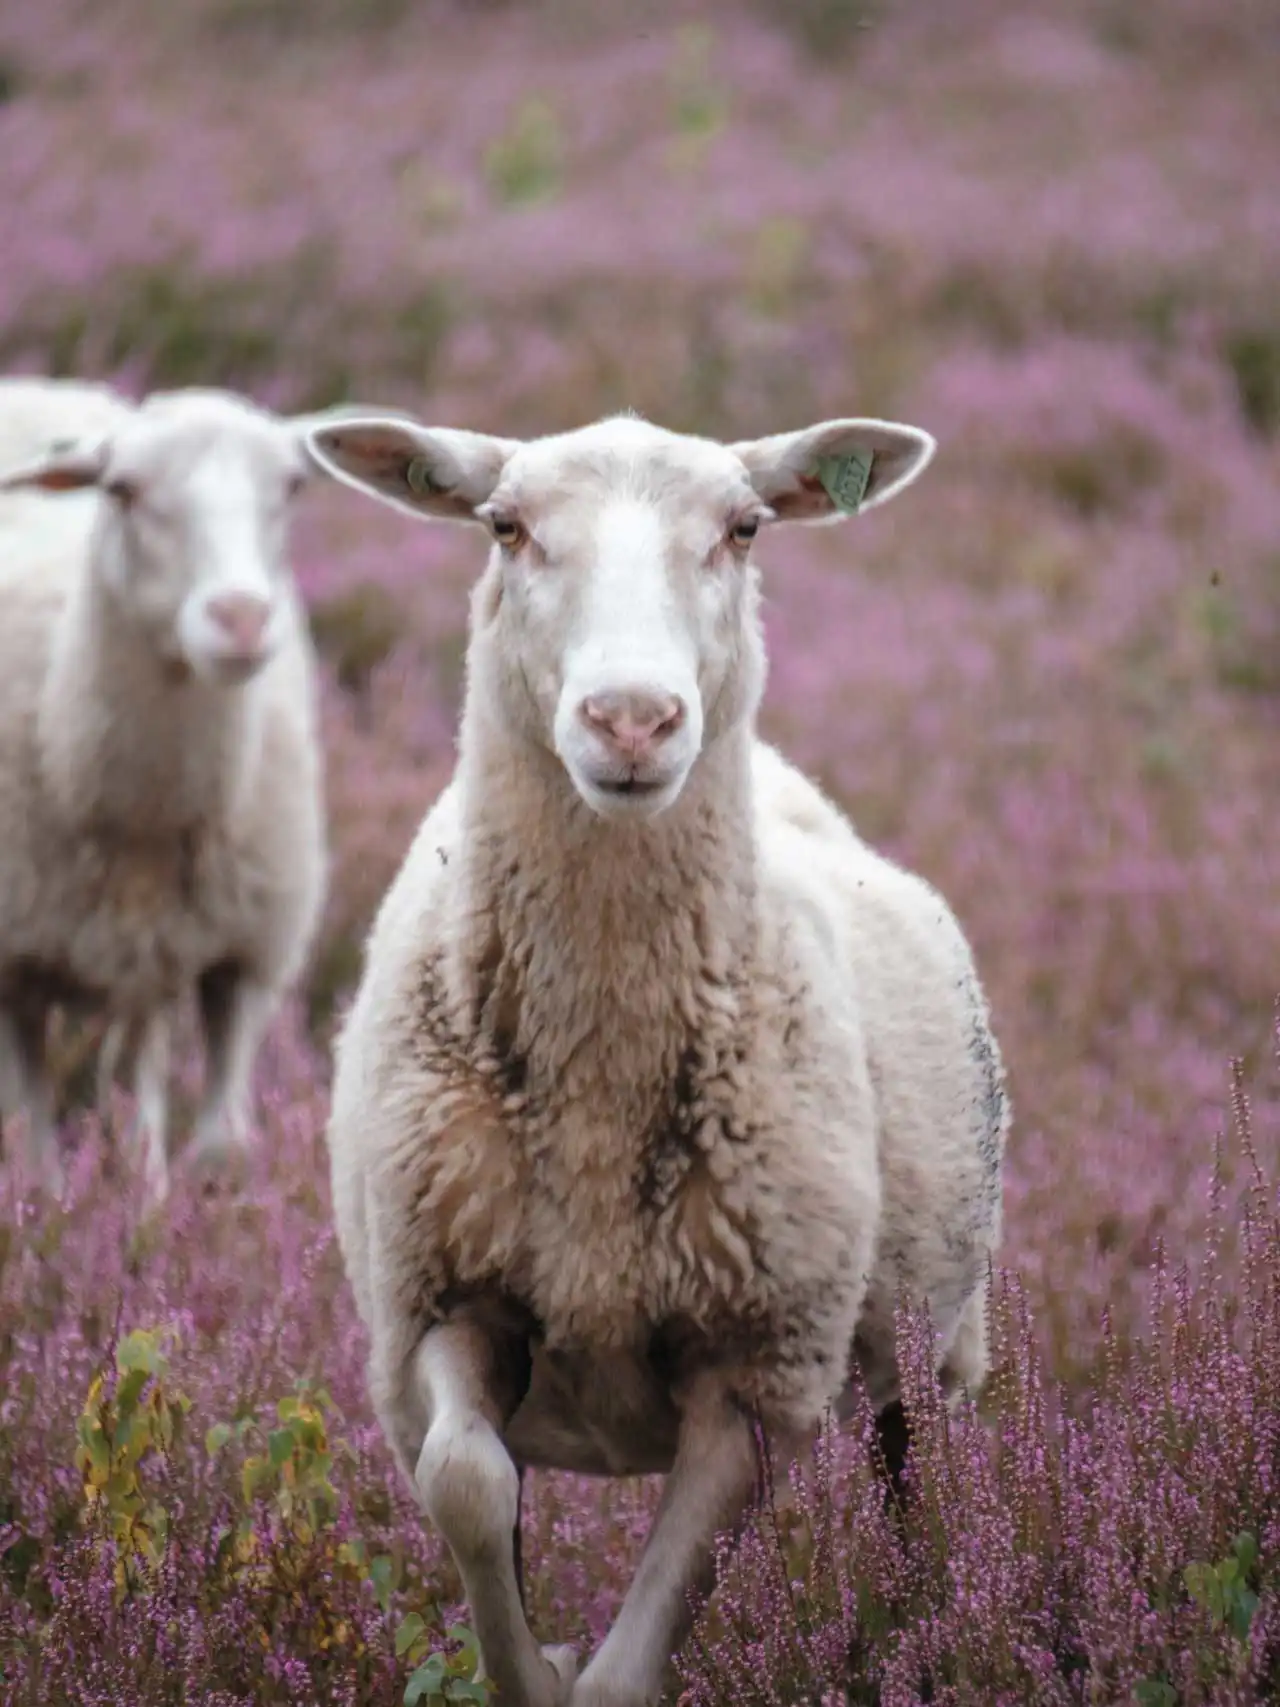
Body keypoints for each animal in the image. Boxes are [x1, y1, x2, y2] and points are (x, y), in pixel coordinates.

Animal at [0, 378, 348, 1202]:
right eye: (123, 490)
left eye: (291, 486)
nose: (241, 617)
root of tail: (39, 385)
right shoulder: (14, 965)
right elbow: (36, 1143)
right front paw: (60, 1205)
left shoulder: (246, 957)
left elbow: (219, 1139)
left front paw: (188, 1208)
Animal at [304, 406, 1010, 1707]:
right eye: (505, 527)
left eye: (743, 529)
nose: (631, 720)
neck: (595, 1084)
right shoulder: (435, 1304)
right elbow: (466, 1487)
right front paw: (533, 1663)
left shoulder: (759, 1368)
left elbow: (630, 1668)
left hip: (927, 1353)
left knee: (910, 1496)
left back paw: (924, 1623)